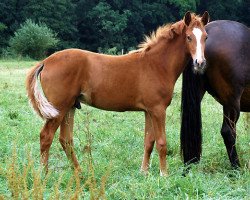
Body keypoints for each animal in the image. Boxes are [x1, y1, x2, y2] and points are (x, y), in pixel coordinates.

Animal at [25, 11, 209, 176]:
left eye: (205, 37)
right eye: (189, 37)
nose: (200, 63)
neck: (156, 65)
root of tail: (45, 61)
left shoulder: (149, 111)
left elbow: (148, 142)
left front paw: (144, 172)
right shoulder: (158, 110)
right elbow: (161, 143)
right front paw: (164, 175)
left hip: (69, 107)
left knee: (65, 140)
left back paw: (79, 172)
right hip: (59, 108)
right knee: (46, 136)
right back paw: (44, 175)